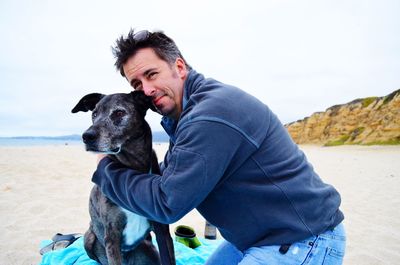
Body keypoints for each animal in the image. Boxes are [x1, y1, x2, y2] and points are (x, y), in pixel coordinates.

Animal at [70, 90, 177, 264]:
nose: (87, 136)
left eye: (119, 113)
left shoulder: (162, 231)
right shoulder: (112, 236)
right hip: (89, 237)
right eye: (94, 114)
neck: (134, 169)